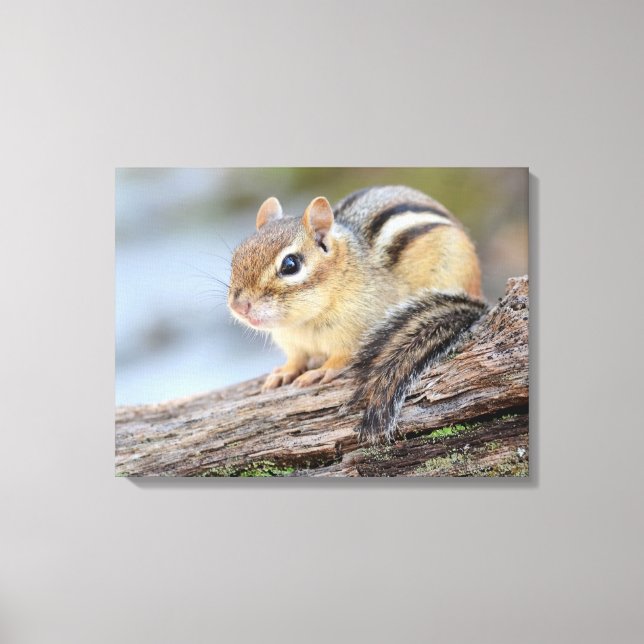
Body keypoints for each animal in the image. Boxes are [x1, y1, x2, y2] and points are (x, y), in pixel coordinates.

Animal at [228, 185, 487, 442]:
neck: (304, 323)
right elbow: (296, 359)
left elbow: (341, 358)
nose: (240, 306)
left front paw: (320, 371)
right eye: (236, 257)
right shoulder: (292, 343)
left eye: (290, 265)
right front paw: (284, 372)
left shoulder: (356, 332)